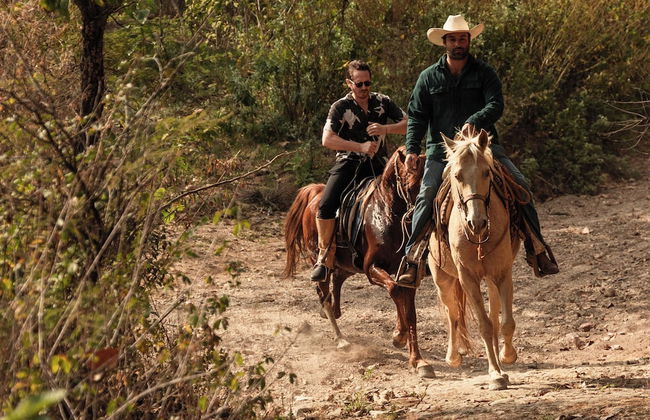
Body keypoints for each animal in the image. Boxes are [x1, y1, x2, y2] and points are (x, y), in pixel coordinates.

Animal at [283, 147, 435, 377]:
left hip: (348, 264)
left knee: (337, 280)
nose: (421, 223)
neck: (388, 213)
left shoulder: (406, 275)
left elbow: (410, 312)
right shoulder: (372, 267)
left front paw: (417, 359)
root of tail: (314, 192)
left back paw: (332, 312)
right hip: (320, 259)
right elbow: (395, 291)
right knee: (324, 290)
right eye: (409, 186)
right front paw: (399, 336)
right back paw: (340, 339)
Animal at [428, 129, 520, 390]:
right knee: (452, 313)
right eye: (457, 175)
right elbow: (483, 324)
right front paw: (496, 375)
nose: (476, 222)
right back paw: (453, 356)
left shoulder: (502, 273)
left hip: (490, 279)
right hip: (442, 280)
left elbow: (505, 321)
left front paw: (506, 358)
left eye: (487, 172)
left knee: (494, 314)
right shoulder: (467, 278)